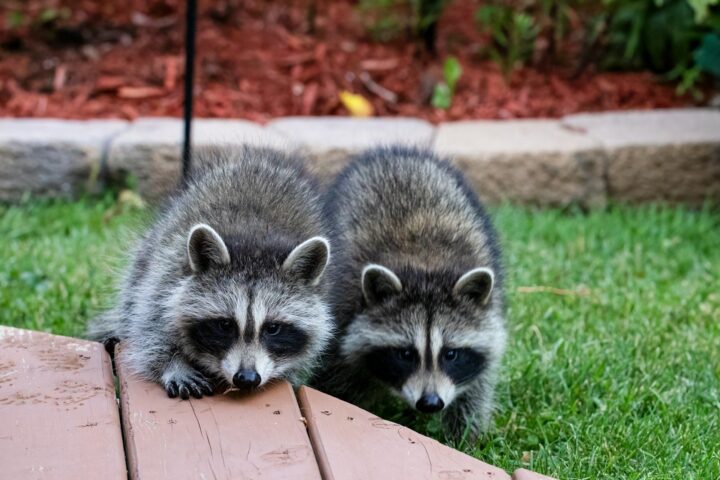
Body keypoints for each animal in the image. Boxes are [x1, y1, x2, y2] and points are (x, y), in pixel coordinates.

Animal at [88, 147, 332, 399]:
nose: (246, 378)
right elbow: (151, 326)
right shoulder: (167, 271)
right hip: (152, 247)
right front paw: (173, 364)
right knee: (133, 292)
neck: (255, 246)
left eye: (273, 328)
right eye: (225, 325)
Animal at [312, 146, 506, 439]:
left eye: (451, 354)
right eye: (405, 354)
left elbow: (476, 387)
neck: (425, 267)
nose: (430, 403)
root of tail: (394, 151)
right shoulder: (343, 309)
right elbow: (335, 378)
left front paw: (465, 436)